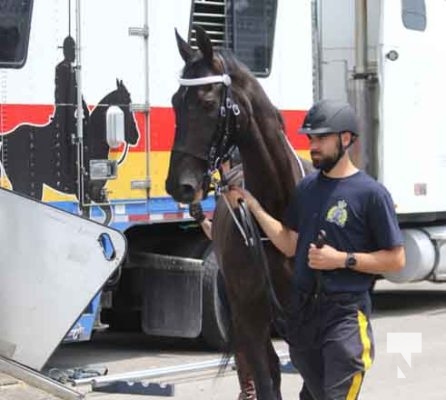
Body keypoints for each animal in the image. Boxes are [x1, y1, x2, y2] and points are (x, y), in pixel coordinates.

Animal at [1, 78, 139, 225]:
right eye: (127, 104)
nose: (135, 137)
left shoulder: (95, 193)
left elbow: (106, 216)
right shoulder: (86, 194)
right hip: (24, 184)